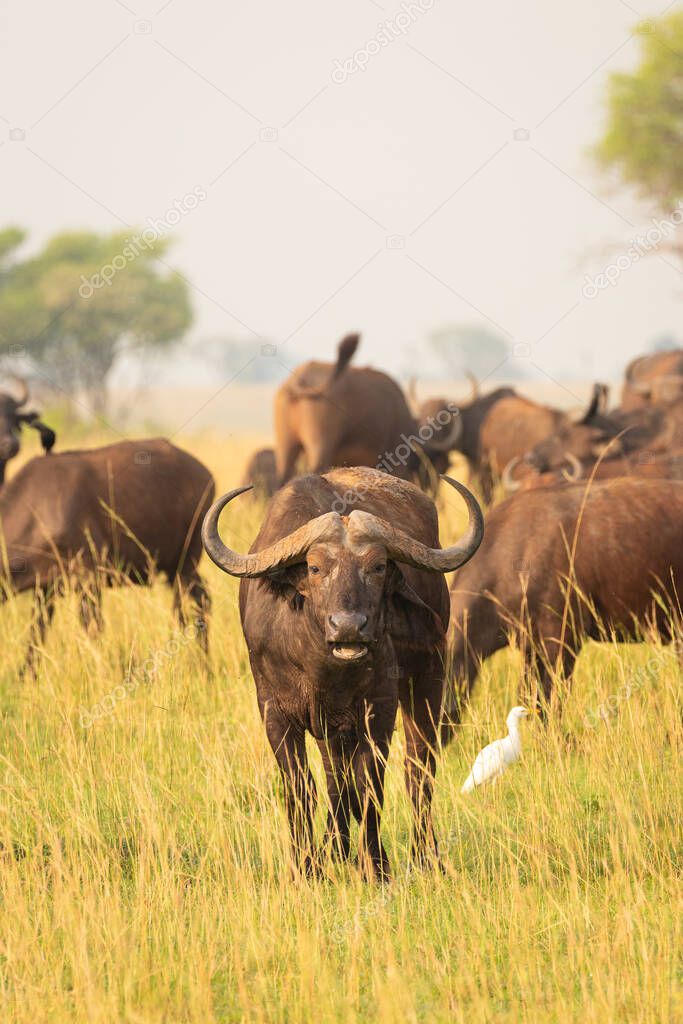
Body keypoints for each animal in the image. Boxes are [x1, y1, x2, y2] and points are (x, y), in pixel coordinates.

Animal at [0, 438, 214, 671]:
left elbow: (93, 627)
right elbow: (37, 633)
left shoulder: (89, 579)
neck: (39, 510)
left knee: (195, 604)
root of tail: (205, 473)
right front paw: (27, 674)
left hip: (186, 564)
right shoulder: (44, 588)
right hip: (175, 570)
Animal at [200, 468, 483, 876]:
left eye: (378, 567)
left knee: (417, 768)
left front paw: (376, 867)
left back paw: (424, 857)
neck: (324, 670)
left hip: (428, 680)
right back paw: (335, 850)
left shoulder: (378, 710)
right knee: (337, 780)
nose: (349, 627)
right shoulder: (274, 710)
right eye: (315, 567)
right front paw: (306, 867)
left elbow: (371, 787)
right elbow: (302, 786)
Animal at [270, 335, 454, 491]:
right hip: (319, 447)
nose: (434, 492)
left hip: (286, 447)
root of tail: (300, 378)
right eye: (440, 465)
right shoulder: (396, 464)